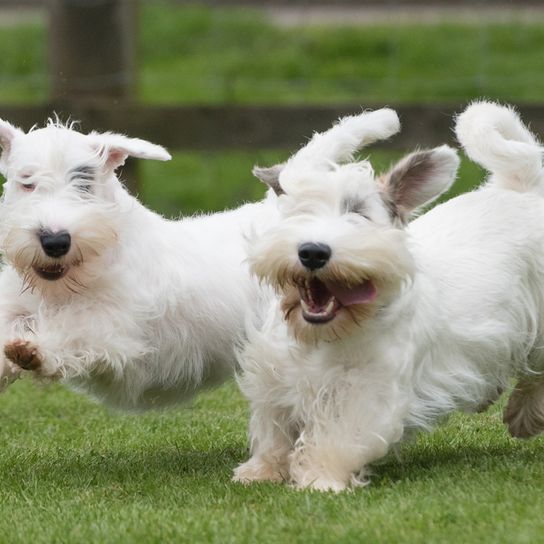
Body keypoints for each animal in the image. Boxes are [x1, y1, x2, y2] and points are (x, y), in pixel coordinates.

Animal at [0, 119, 276, 408]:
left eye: (85, 184)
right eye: (27, 182)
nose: (55, 241)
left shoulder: (113, 325)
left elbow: (76, 329)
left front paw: (35, 350)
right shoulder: (13, 306)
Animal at [236, 103, 544, 492]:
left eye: (359, 213)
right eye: (300, 210)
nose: (312, 252)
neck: (324, 336)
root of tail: (525, 187)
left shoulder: (368, 391)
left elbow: (337, 437)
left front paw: (320, 479)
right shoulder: (273, 375)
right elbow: (273, 427)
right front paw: (261, 470)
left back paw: (526, 414)